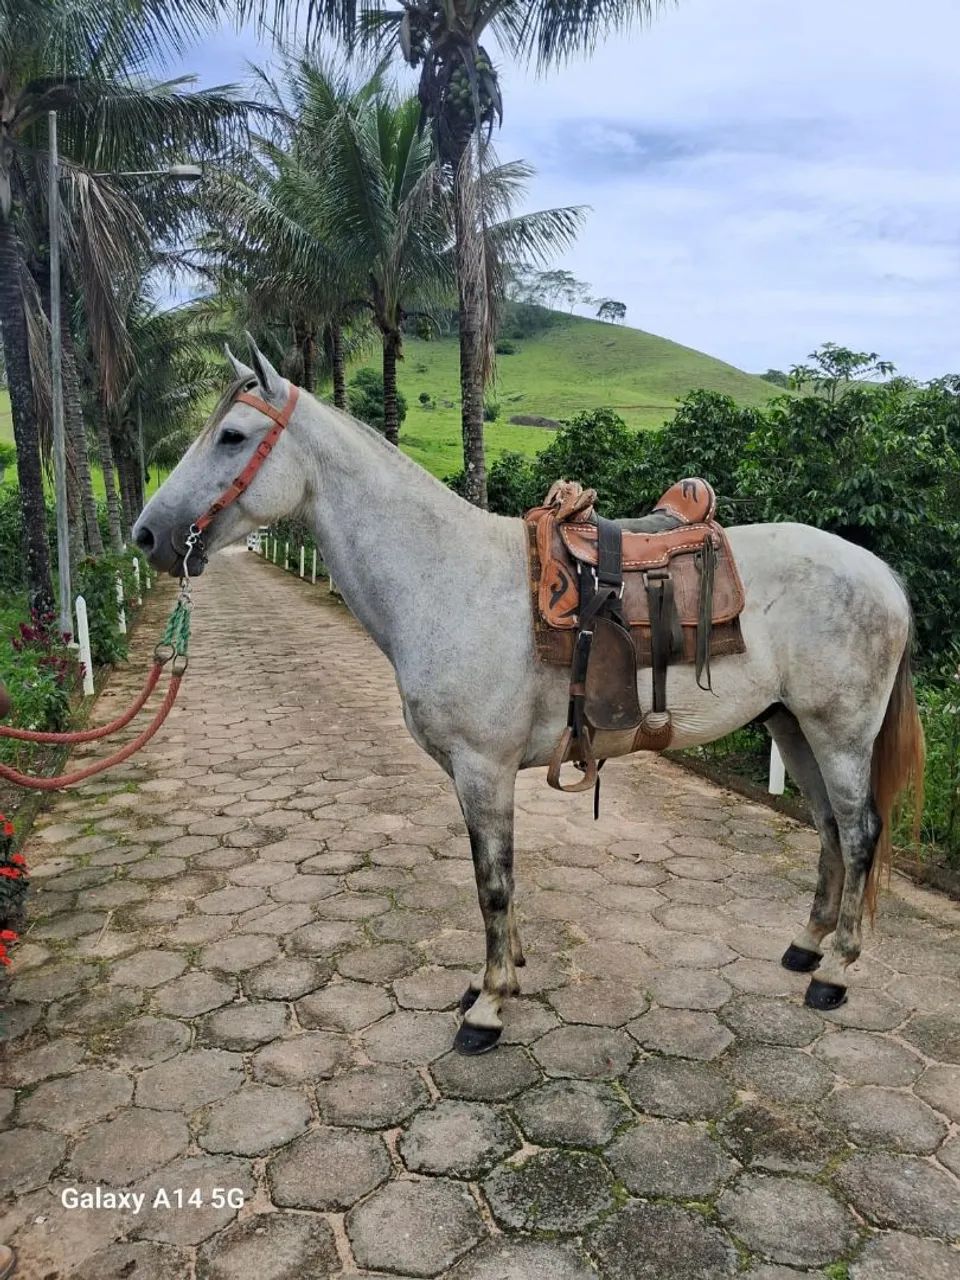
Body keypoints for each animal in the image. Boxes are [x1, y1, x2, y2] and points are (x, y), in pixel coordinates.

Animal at [134, 338, 924, 1056]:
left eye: (233, 437)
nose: (148, 535)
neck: (445, 578)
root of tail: (880, 571)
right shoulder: (473, 773)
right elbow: (496, 878)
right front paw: (500, 976)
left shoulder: (484, 768)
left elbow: (492, 881)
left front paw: (487, 1010)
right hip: (792, 726)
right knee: (829, 831)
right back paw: (806, 945)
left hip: (840, 733)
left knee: (859, 832)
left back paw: (835, 973)